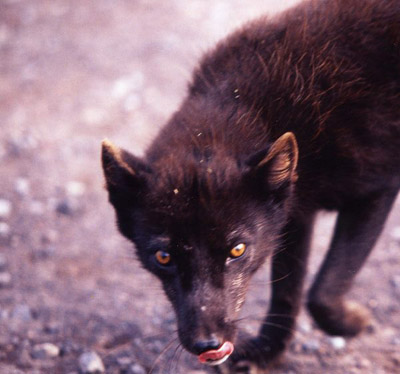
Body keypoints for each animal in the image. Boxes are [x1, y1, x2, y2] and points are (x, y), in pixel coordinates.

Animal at [101, 0, 398, 372]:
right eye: (163, 257)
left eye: (237, 250)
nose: (208, 345)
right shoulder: (293, 213)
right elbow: (287, 291)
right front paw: (268, 352)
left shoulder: (377, 190)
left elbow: (323, 288)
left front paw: (353, 322)